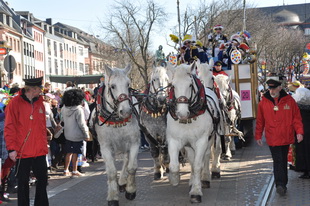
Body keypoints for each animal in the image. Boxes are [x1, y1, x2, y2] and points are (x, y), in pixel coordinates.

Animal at [88, 65, 139, 206]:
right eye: (112, 86)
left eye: (128, 84)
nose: (126, 111)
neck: (116, 119)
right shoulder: (105, 147)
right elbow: (111, 172)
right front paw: (112, 196)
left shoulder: (134, 143)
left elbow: (131, 167)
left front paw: (131, 190)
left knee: (127, 161)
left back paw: (122, 182)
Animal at [167, 62, 216, 203]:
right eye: (173, 85)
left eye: (190, 85)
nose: (182, 113)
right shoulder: (174, 140)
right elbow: (174, 166)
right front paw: (174, 179)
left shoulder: (202, 141)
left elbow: (198, 165)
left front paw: (196, 192)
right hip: (189, 146)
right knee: (192, 161)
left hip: (210, 140)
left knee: (206, 157)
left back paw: (204, 178)